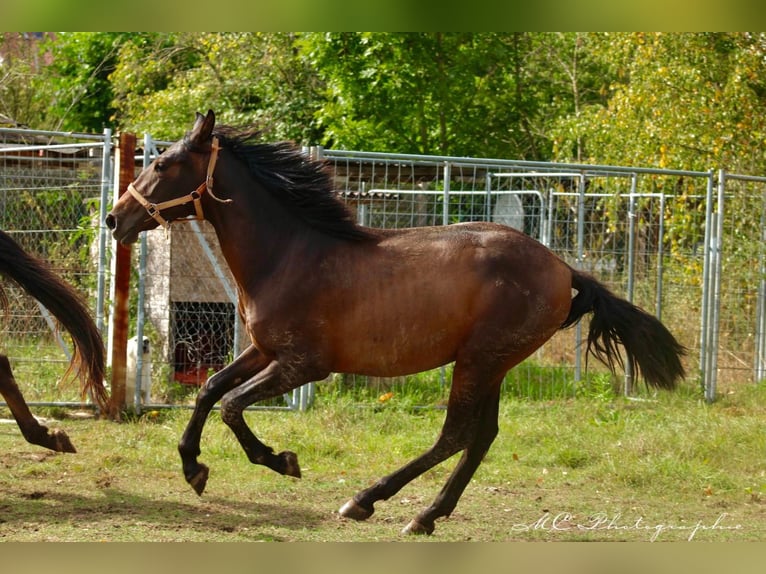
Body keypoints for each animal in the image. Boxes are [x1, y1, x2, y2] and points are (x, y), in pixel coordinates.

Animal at [105, 111, 688, 536]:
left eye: (164, 165)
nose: (114, 219)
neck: (289, 254)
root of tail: (564, 269)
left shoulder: (303, 366)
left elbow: (230, 405)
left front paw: (280, 460)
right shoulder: (264, 351)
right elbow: (208, 391)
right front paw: (194, 470)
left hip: (480, 360)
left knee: (455, 435)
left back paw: (370, 501)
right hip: (493, 365)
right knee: (481, 437)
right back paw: (425, 515)